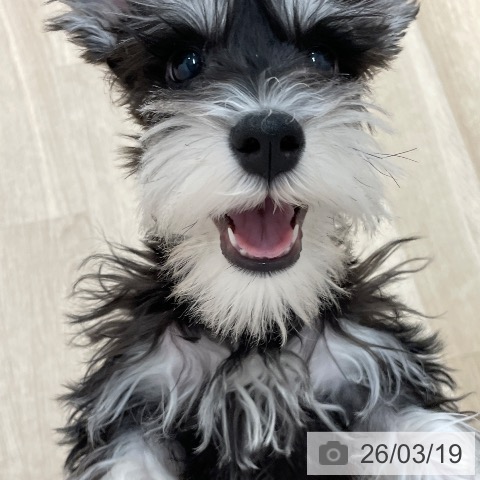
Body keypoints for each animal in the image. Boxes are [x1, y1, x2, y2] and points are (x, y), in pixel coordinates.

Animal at [48, 1, 479, 479]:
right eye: (184, 64)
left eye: (322, 58)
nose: (269, 136)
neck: (256, 326)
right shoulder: (138, 398)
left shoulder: (372, 372)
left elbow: (431, 434)